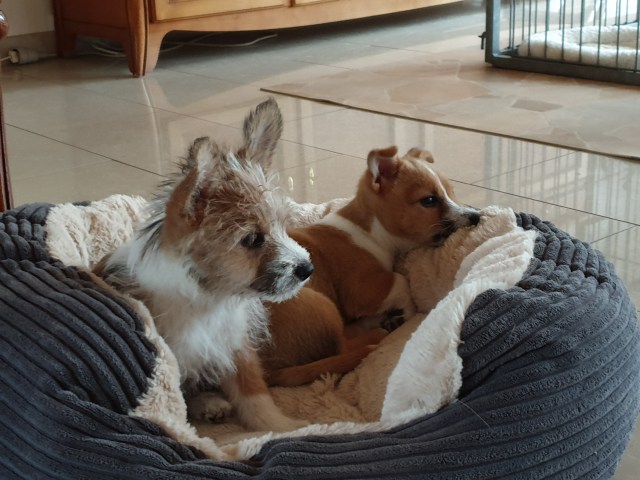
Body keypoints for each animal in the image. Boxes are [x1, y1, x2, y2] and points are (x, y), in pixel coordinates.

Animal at [94, 98, 310, 432]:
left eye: (283, 226)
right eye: (252, 239)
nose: (306, 268)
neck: (208, 299)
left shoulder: (236, 346)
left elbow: (255, 394)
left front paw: (284, 426)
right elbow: (176, 404)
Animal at [260, 145, 481, 387]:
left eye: (451, 191)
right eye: (429, 200)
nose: (476, 216)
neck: (371, 231)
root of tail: (262, 369)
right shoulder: (362, 291)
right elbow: (400, 281)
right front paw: (406, 311)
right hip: (318, 304)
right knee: (341, 346)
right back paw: (377, 331)